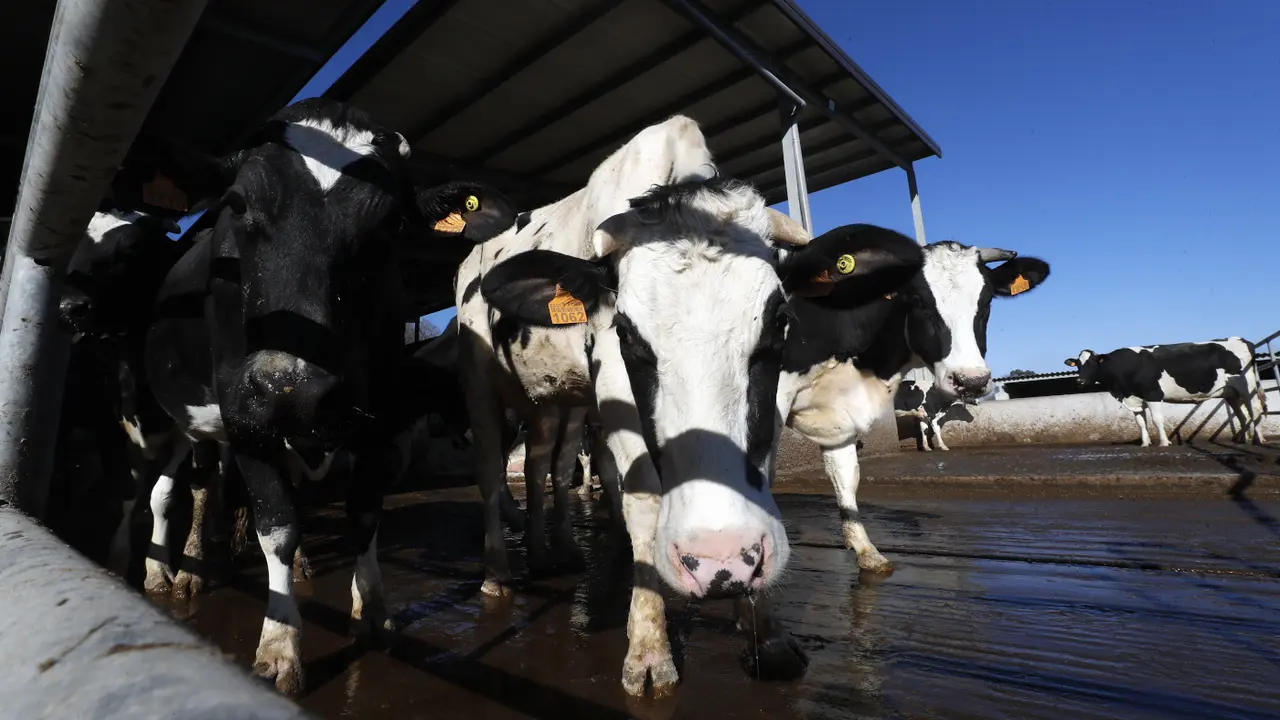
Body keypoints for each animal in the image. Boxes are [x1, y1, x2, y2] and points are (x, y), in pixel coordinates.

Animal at [136, 97, 516, 694]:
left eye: (392, 224)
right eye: (236, 205)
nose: (290, 388)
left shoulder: (381, 419)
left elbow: (363, 516)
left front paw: (373, 613)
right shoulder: (246, 417)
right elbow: (277, 525)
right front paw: (279, 643)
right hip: (180, 421)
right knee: (177, 491)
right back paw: (172, 570)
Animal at [458, 114, 925, 695]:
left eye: (781, 320)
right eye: (626, 333)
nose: (720, 561)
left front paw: (766, 633)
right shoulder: (615, 394)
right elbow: (642, 501)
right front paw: (648, 648)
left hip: (556, 402)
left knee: (550, 464)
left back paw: (554, 551)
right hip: (481, 383)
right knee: (490, 469)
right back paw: (498, 574)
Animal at [779, 241, 1050, 573]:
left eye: (986, 301)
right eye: (918, 300)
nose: (971, 381)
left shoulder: (841, 413)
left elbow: (845, 475)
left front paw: (866, 550)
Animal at [1065, 338, 1268, 447]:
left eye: (1093, 363)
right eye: (1078, 365)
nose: (1079, 381)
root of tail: (1240, 339)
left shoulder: (1153, 394)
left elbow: (1156, 420)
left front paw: (1164, 442)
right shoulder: (1135, 398)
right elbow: (1141, 422)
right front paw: (1145, 443)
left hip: (1247, 387)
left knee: (1255, 410)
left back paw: (1258, 439)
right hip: (1231, 393)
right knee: (1242, 414)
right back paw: (1243, 439)